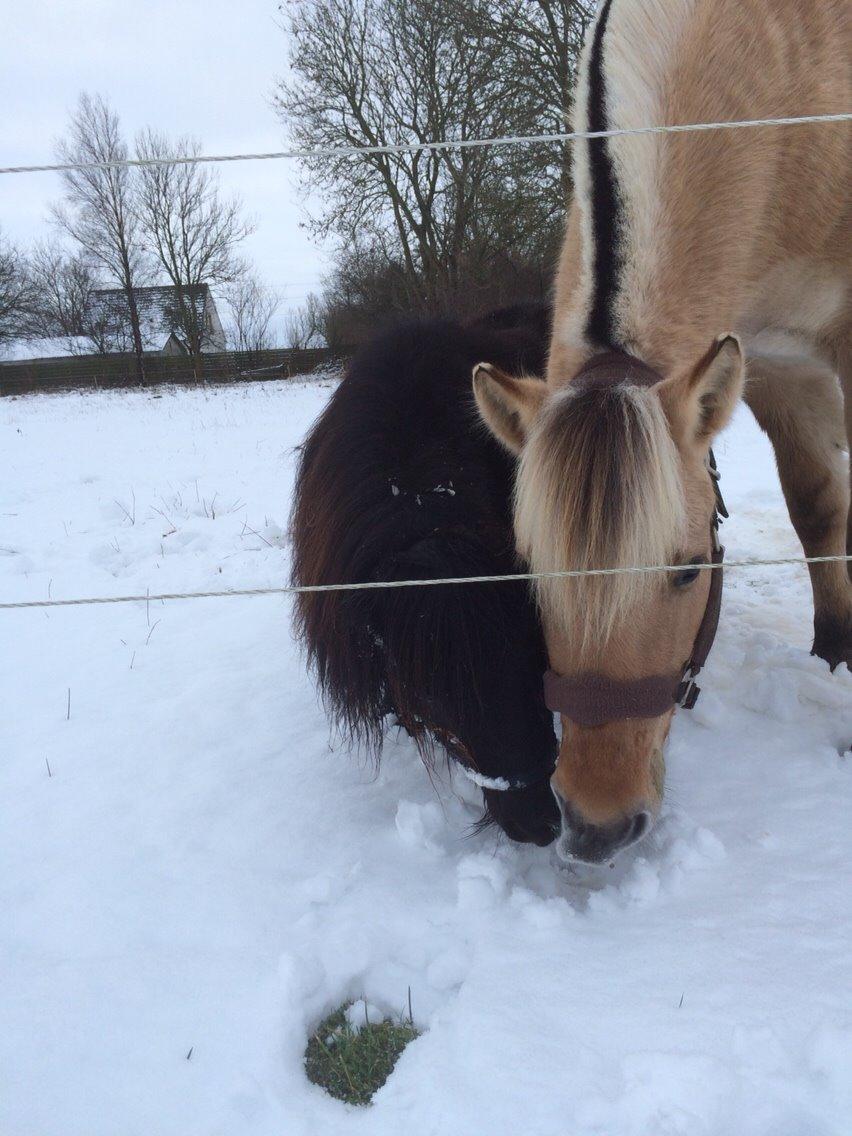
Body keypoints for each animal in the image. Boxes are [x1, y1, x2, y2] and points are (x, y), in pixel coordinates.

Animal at [473, 0, 851, 864]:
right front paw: (836, 656)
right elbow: (817, 511)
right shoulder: (777, 368)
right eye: (532, 572)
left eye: (685, 571)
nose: (597, 823)